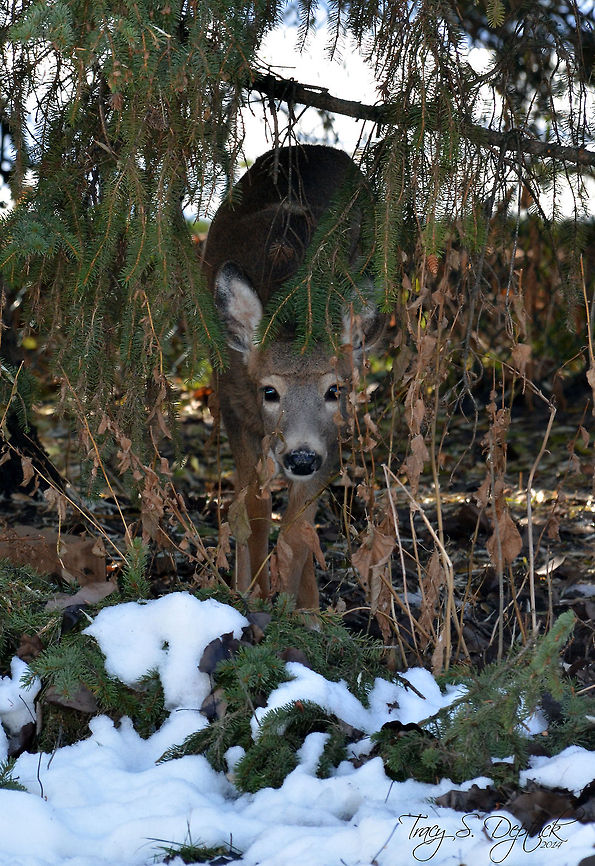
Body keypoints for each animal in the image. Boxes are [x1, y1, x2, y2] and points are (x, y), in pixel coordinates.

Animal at [201, 144, 382, 609]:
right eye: (269, 391)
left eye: (333, 389)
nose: (301, 456)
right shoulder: (235, 410)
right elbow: (253, 513)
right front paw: (251, 596)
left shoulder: (333, 436)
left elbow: (299, 528)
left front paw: (301, 611)